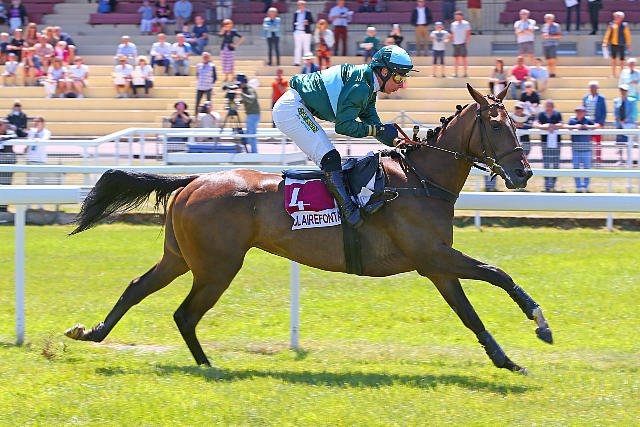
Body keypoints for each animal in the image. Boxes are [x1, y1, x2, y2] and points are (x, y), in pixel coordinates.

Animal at [65, 84, 552, 374]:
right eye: (495, 125)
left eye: (516, 122)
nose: (524, 173)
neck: (420, 180)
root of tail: (193, 180)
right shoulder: (433, 256)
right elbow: (497, 274)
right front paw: (541, 325)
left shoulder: (436, 265)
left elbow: (470, 313)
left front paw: (507, 360)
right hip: (217, 266)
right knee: (185, 313)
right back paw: (208, 366)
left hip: (181, 257)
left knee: (138, 288)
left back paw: (94, 333)